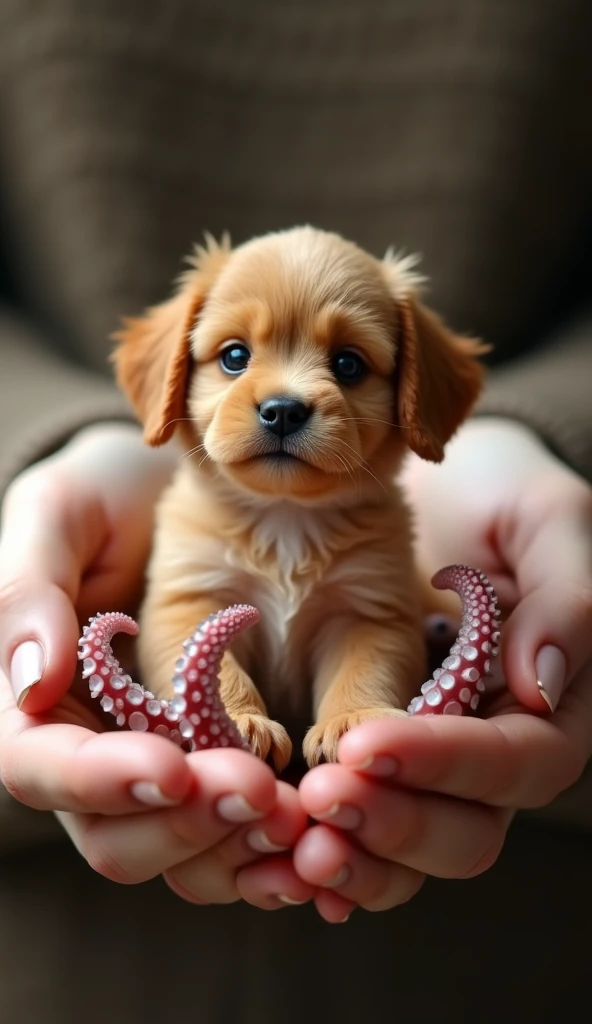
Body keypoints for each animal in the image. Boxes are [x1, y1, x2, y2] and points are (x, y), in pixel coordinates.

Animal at [112, 224, 485, 770]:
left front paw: (353, 721)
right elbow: (213, 667)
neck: (285, 516)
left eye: (348, 364)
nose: (283, 409)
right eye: (235, 357)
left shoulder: (367, 611)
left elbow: (364, 668)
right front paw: (234, 722)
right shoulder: (192, 599)